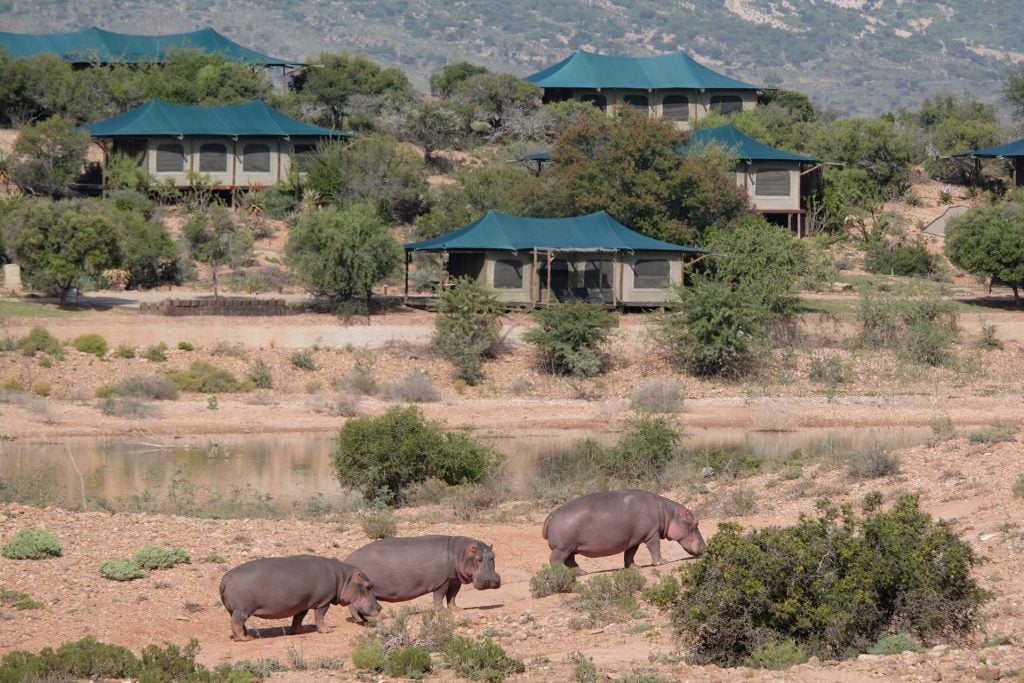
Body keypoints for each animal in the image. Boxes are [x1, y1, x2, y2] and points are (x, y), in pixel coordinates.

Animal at [217, 557, 380, 643]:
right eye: (368, 585)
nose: (379, 607)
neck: (343, 578)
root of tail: (226, 577)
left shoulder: (303, 603)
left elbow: (299, 617)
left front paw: (300, 631)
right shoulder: (324, 601)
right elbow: (320, 616)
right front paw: (327, 630)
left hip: (235, 610)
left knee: (239, 623)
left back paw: (246, 635)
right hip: (242, 610)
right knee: (236, 623)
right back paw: (246, 639)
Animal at [346, 532, 501, 610]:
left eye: (493, 556)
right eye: (478, 558)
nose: (492, 581)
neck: (460, 553)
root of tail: (347, 559)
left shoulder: (454, 580)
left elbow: (452, 596)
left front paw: (456, 610)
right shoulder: (442, 582)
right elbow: (439, 596)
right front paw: (441, 611)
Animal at [544, 489, 704, 573]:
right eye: (696, 523)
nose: (705, 546)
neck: (668, 514)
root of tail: (551, 515)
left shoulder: (634, 539)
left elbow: (629, 554)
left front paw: (634, 567)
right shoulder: (652, 533)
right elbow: (655, 548)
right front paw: (662, 562)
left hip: (571, 549)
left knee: (570, 561)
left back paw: (581, 572)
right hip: (562, 548)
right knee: (555, 560)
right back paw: (560, 573)